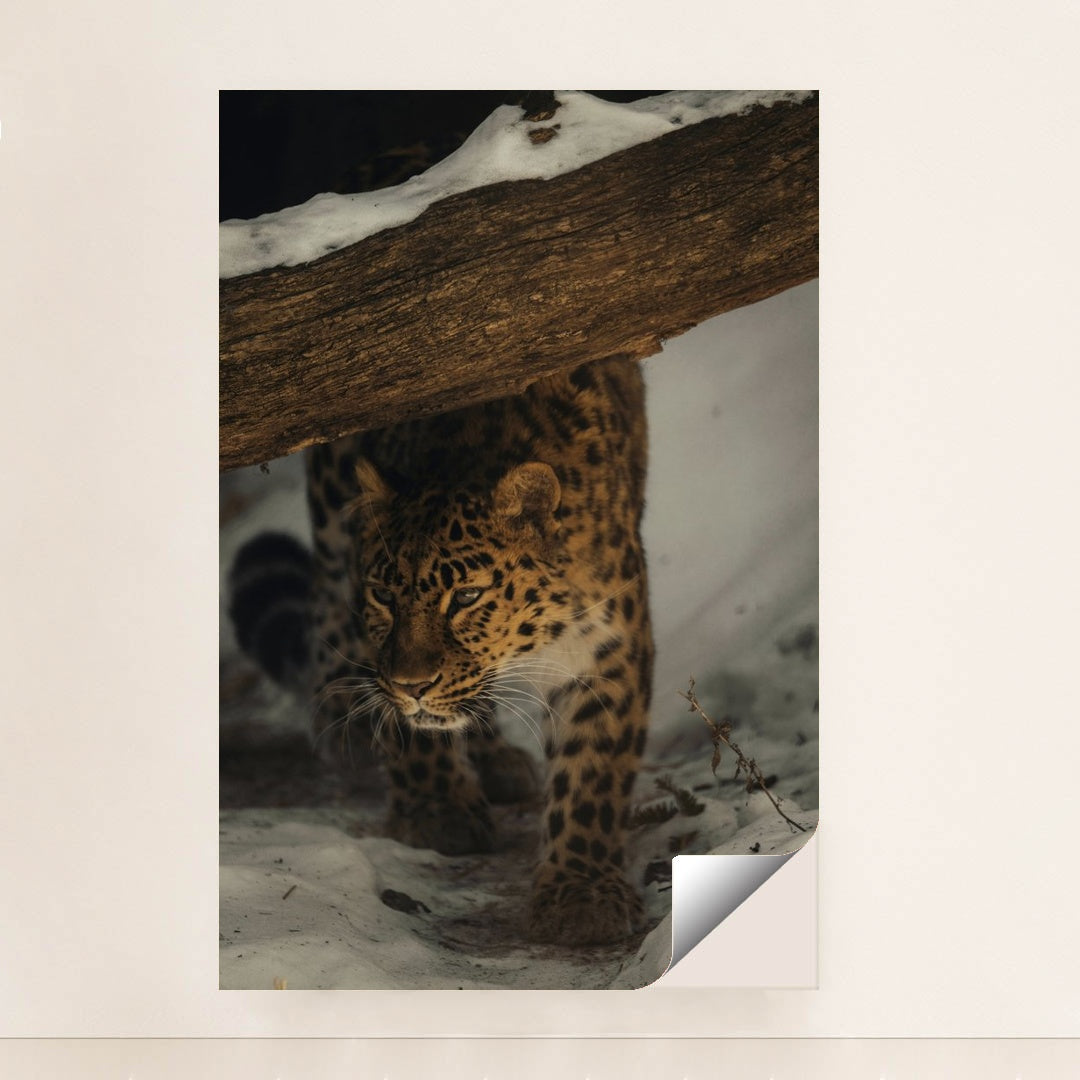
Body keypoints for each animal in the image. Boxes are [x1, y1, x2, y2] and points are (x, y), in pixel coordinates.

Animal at [229, 355, 653, 946]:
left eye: (468, 597)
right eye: (385, 596)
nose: (413, 686)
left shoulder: (607, 645)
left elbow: (594, 770)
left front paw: (581, 894)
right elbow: (408, 728)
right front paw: (438, 812)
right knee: (325, 586)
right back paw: (345, 717)